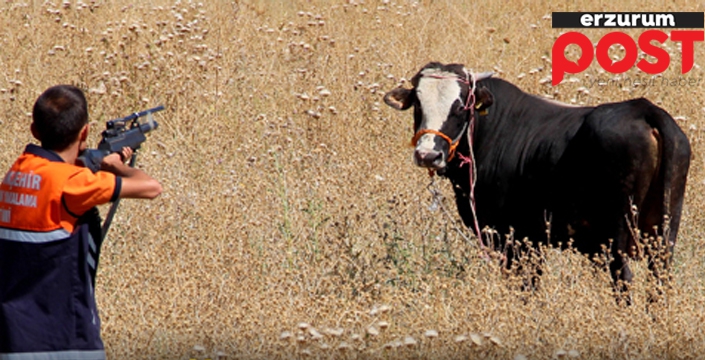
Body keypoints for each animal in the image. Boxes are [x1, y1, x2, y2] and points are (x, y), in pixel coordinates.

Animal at [382, 62, 692, 286]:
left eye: (460, 106)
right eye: (418, 104)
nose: (427, 155)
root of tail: (644, 109)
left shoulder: (512, 239)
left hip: (617, 238)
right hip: (663, 236)